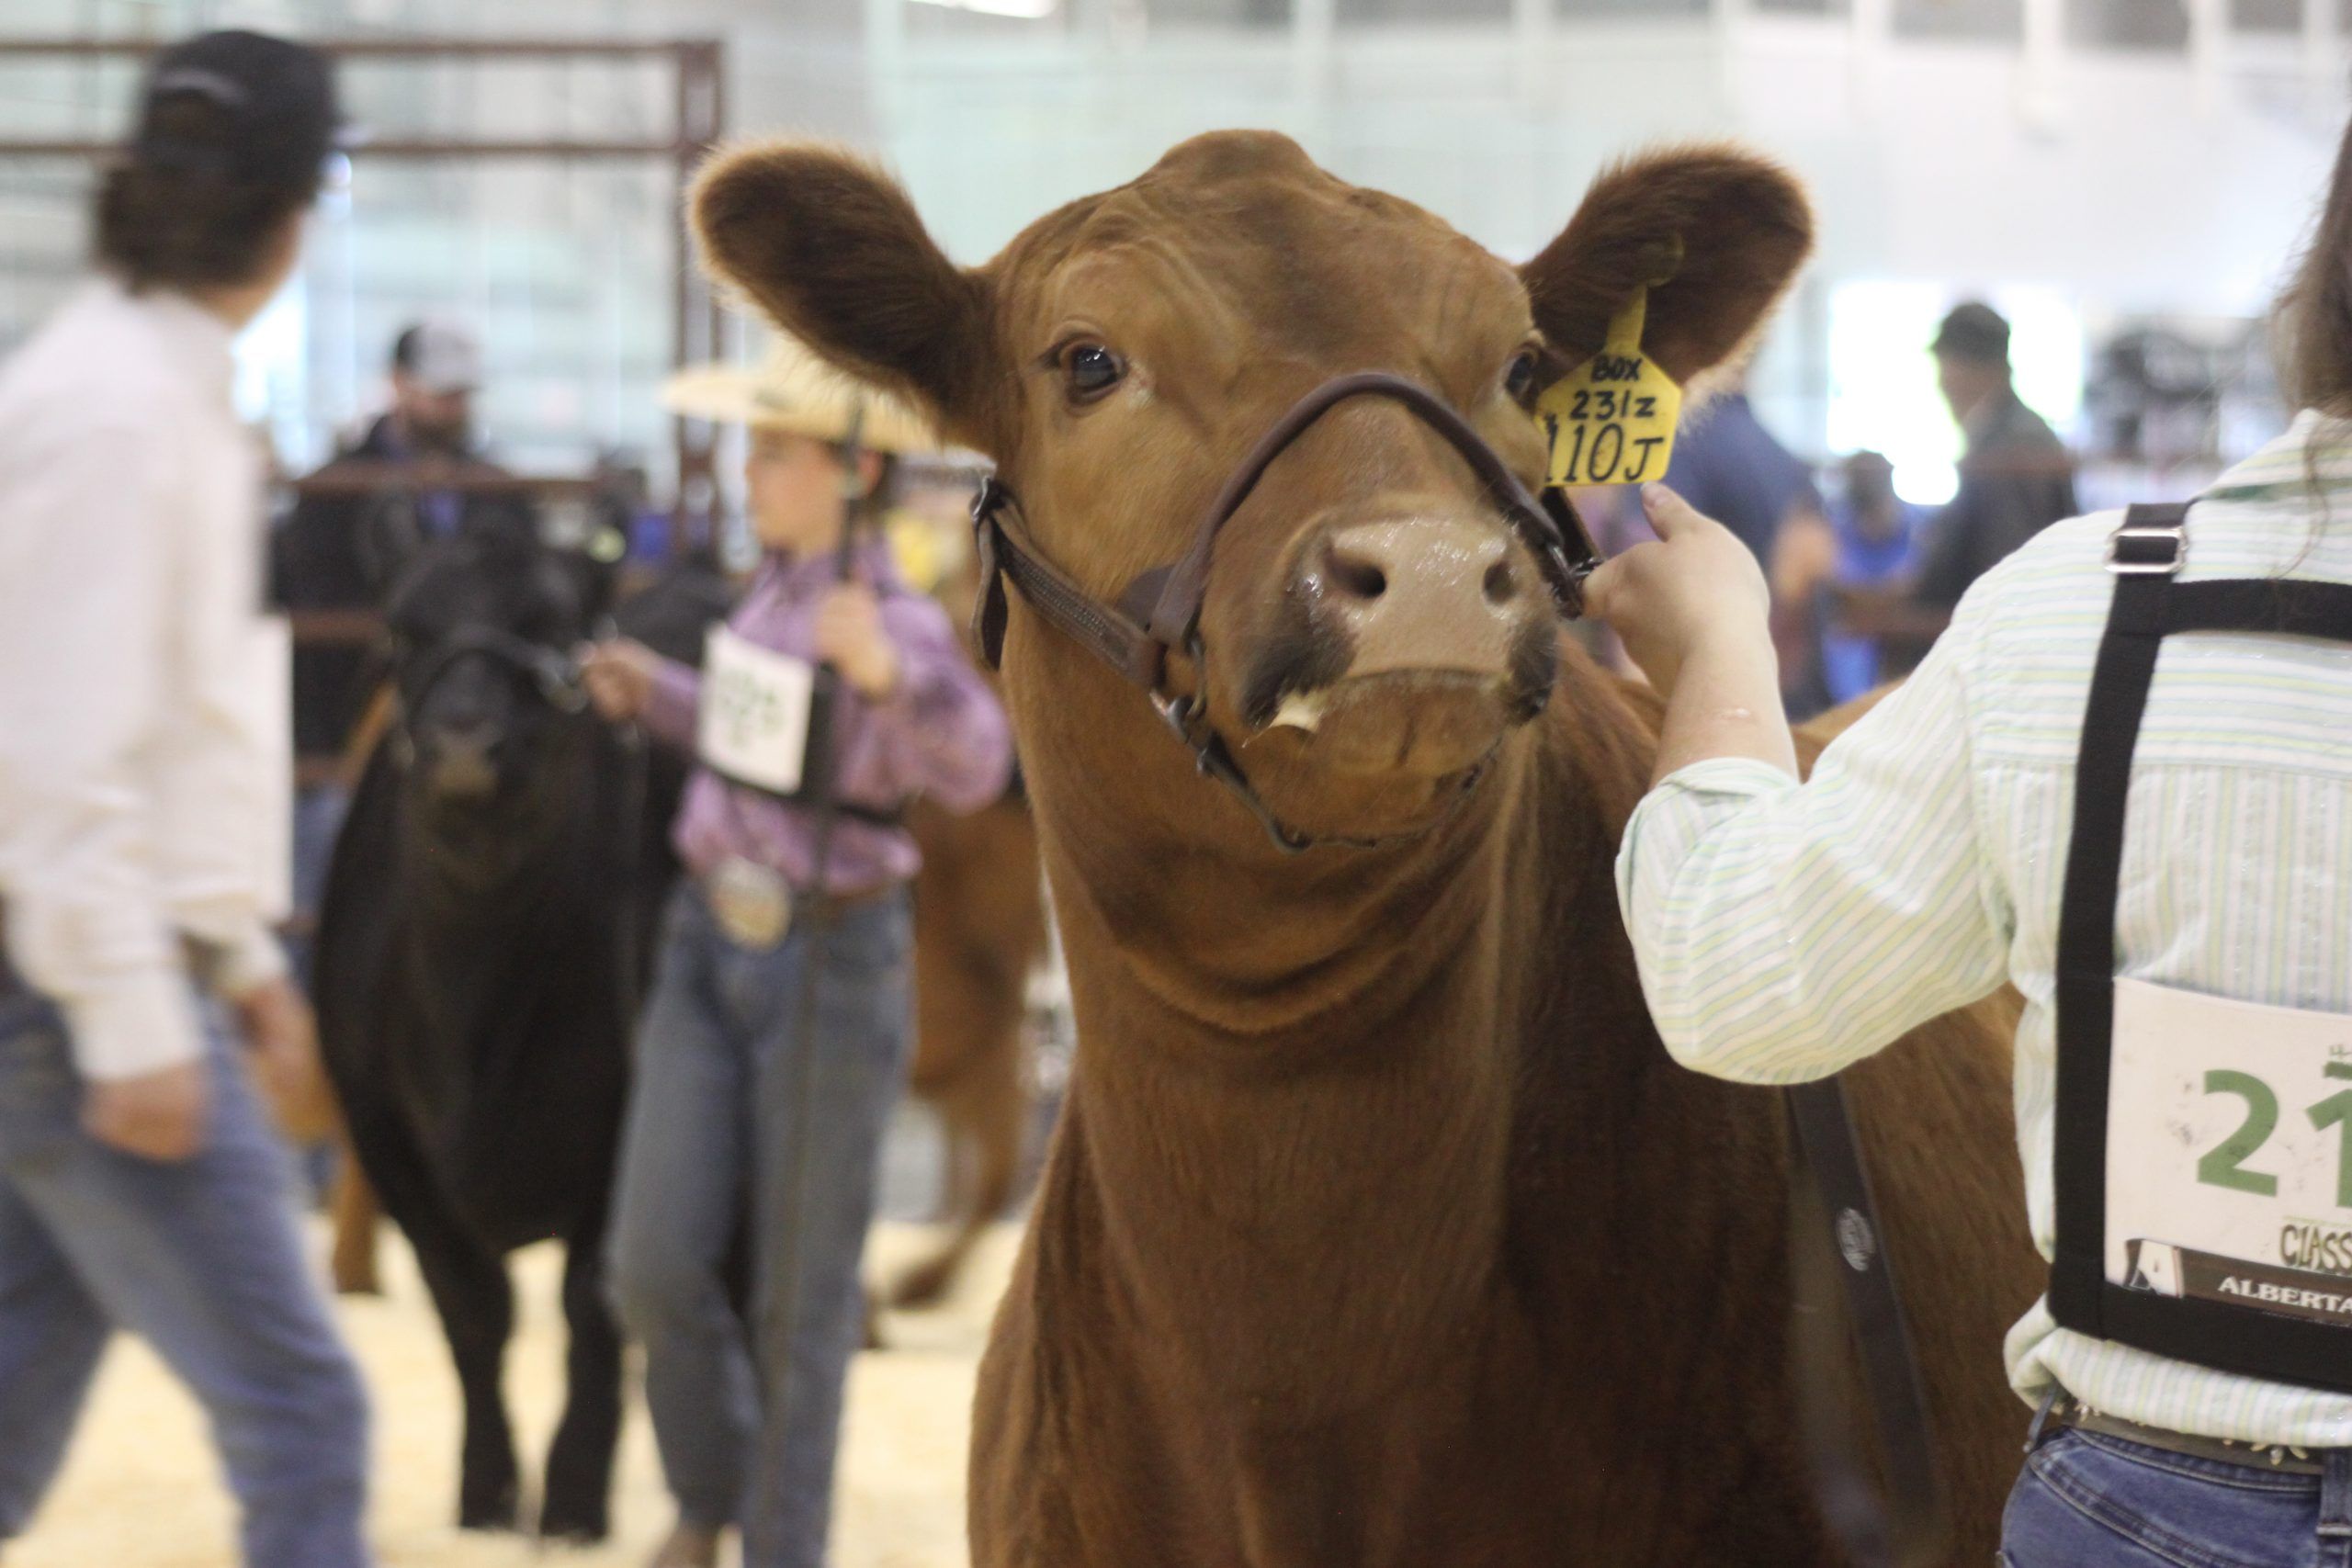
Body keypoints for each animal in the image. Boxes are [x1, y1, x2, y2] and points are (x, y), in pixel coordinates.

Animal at [313, 509, 640, 1541]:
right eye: (402, 632)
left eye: (554, 627)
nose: (462, 745)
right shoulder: (382, 1132)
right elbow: (470, 1308)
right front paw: (486, 1492)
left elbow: (592, 1305)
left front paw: (574, 1500)